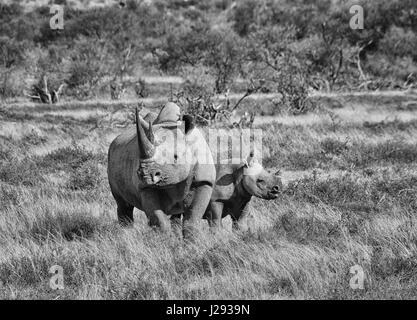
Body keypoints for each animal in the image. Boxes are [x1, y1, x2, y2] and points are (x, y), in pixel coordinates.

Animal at [107, 104, 214, 239]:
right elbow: (160, 221)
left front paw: (191, 243)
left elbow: (192, 220)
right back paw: (126, 235)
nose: (146, 175)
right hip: (112, 156)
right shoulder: (145, 187)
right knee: (123, 204)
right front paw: (164, 242)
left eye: (175, 157)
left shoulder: (203, 181)